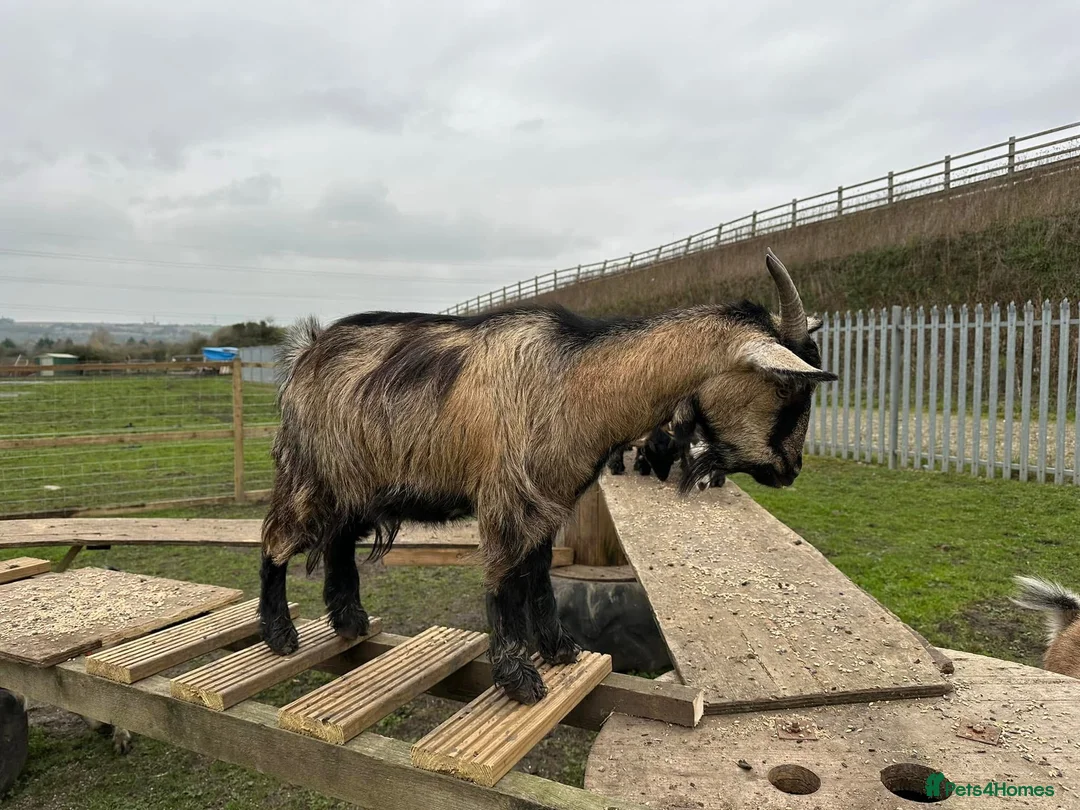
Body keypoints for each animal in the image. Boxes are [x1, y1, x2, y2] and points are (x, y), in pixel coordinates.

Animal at [258, 248, 834, 704]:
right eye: (788, 385)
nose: (791, 470)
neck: (577, 381)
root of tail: (305, 351)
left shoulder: (550, 499)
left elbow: (536, 576)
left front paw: (561, 650)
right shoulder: (506, 498)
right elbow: (502, 581)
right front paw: (518, 679)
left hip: (354, 482)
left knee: (337, 540)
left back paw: (350, 621)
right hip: (307, 471)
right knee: (276, 539)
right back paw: (280, 633)